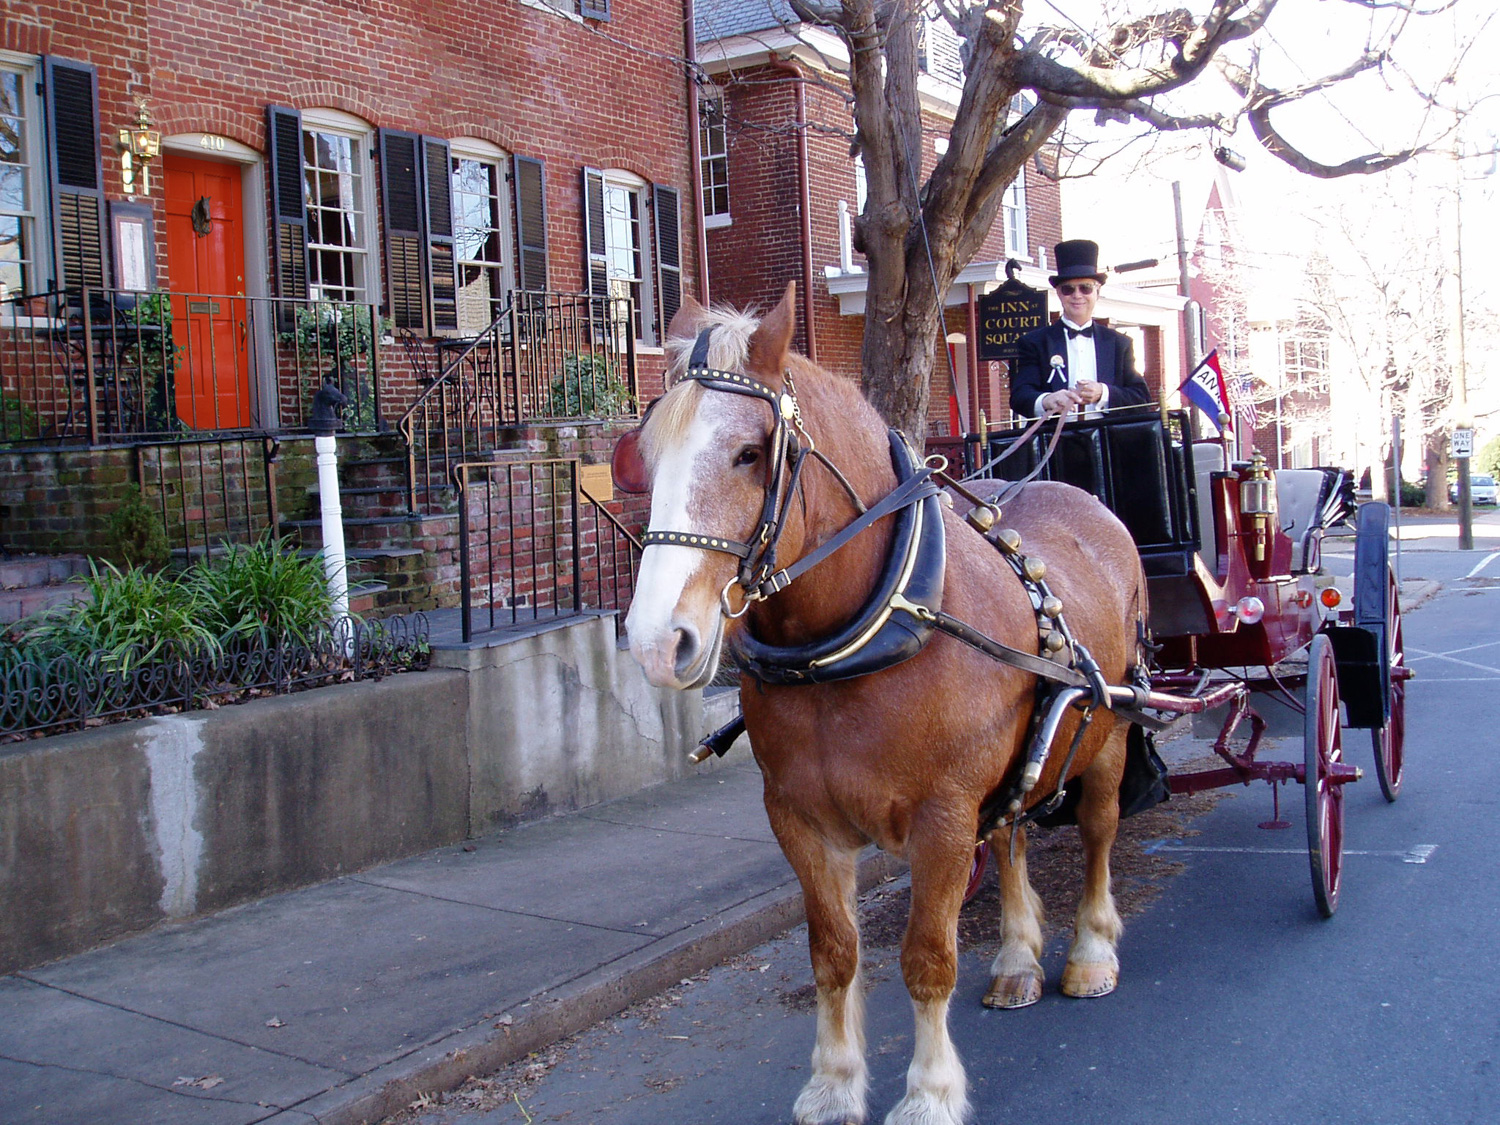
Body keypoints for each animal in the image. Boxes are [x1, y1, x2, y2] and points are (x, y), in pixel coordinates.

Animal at [621, 283, 1146, 1125]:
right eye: (648, 455)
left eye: (748, 452)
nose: (651, 640)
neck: (863, 631)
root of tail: (1083, 500)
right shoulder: (799, 817)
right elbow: (834, 953)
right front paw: (834, 1081)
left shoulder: (943, 816)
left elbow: (927, 958)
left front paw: (930, 1091)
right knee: (1012, 836)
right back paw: (1016, 959)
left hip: (1110, 728)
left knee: (1098, 827)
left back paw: (1092, 950)